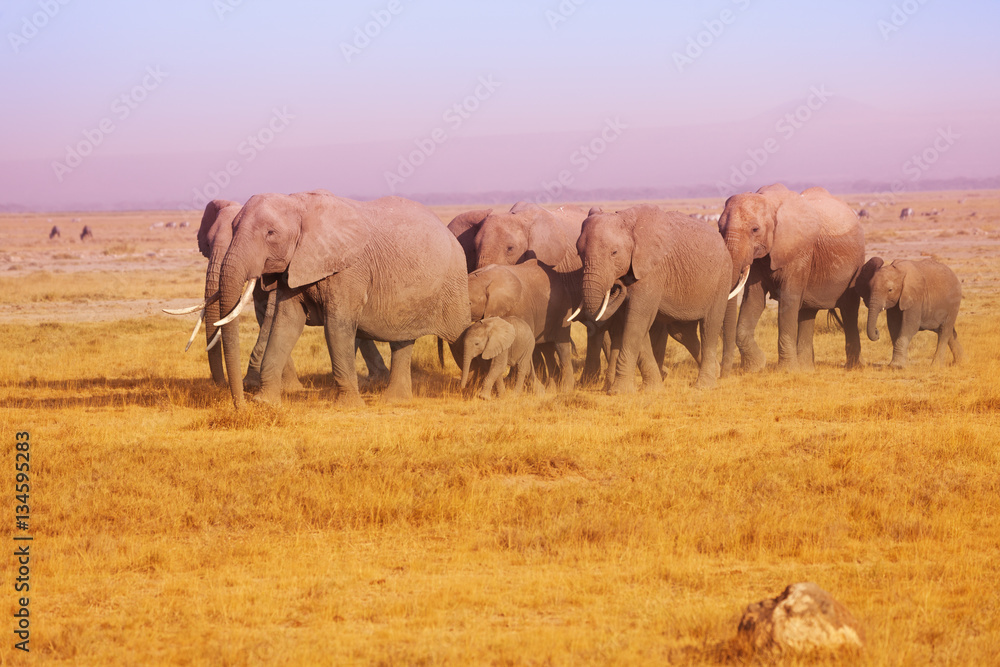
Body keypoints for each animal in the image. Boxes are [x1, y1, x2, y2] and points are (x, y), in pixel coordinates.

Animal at [214, 190, 469, 408]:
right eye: (233, 227)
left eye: (270, 233)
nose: (241, 405)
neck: (299, 203)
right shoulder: (294, 267)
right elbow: (286, 324)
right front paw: (265, 403)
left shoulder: (350, 270)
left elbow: (337, 326)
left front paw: (351, 407)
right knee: (402, 341)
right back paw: (396, 401)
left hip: (453, 284)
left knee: (460, 334)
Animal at [464, 259, 576, 392]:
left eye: (470, 303)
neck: (485, 278)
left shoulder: (522, 308)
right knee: (547, 349)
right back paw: (551, 390)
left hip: (563, 309)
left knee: (561, 346)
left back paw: (566, 389)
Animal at [576, 205, 738, 391]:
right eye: (579, 253)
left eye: (614, 253)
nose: (617, 285)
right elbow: (633, 323)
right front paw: (652, 389)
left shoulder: (652, 270)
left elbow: (637, 319)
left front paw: (619, 392)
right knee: (682, 332)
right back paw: (715, 372)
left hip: (722, 277)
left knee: (709, 326)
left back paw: (704, 386)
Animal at [718, 184, 864, 373]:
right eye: (719, 228)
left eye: (755, 229)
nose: (723, 372)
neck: (770, 201)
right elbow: (753, 300)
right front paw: (755, 367)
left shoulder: (800, 252)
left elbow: (788, 301)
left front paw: (786, 371)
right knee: (807, 312)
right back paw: (806, 369)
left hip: (856, 267)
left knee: (849, 311)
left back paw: (853, 367)